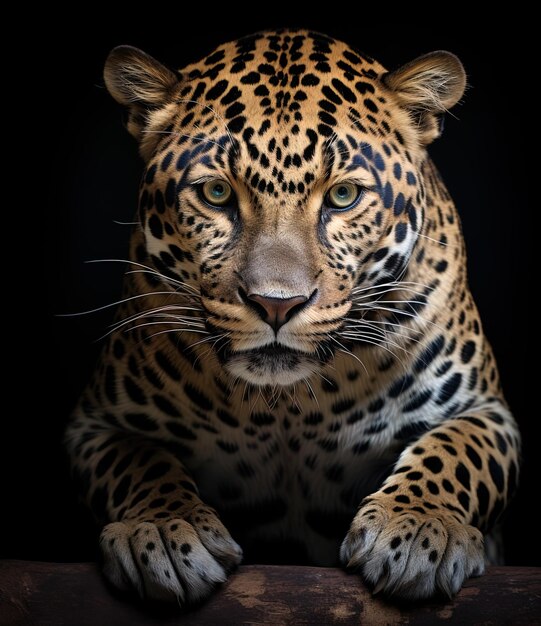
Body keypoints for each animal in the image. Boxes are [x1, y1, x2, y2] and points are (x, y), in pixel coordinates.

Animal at [63, 30, 520, 604]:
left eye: (343, 196)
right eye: (216, 193)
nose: (276, 303)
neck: (288, 410)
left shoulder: (485, 411)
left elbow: (454, 450)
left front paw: (416, 527)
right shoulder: (97, 423)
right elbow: (139, 462)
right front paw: (166, 529)